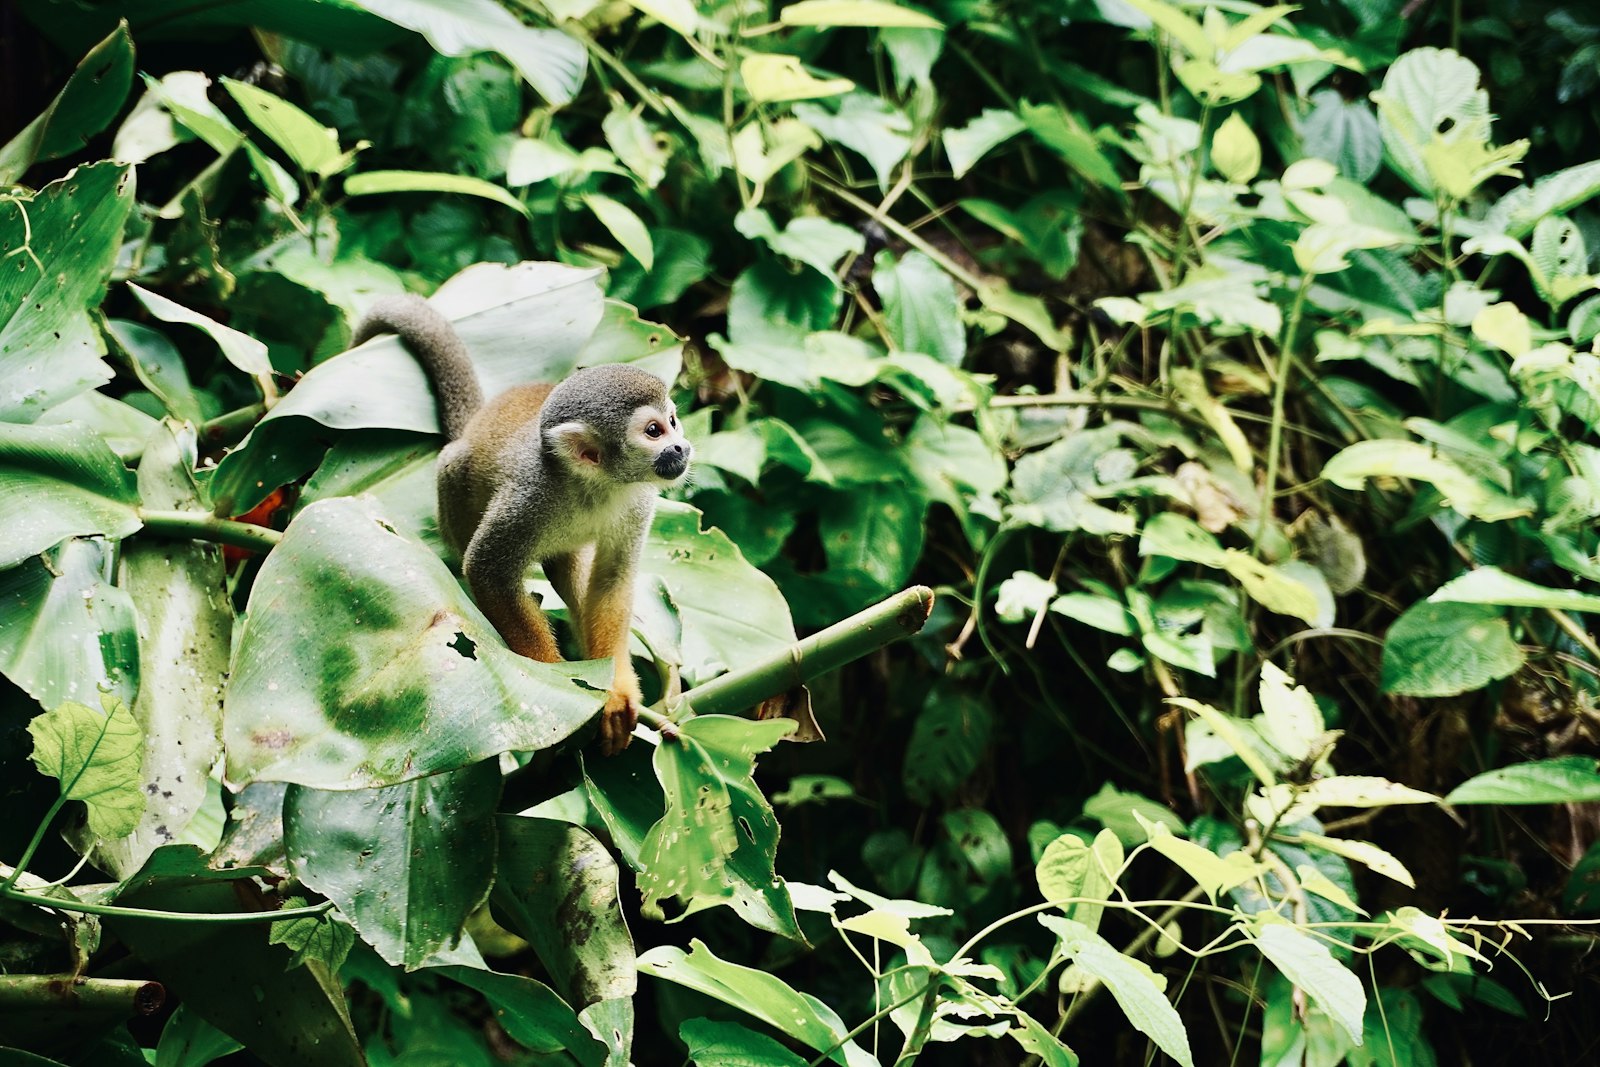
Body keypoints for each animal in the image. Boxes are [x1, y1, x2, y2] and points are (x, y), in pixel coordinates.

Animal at [351, 294, 693, 755]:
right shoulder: (529, 496)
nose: (681, 447)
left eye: (672, 423)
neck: (598, 484)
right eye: (654, 431)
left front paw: (617, 689)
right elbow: (487, 569)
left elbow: (612, 580)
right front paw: (558, 683)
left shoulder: (640, 500)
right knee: (454, 468)